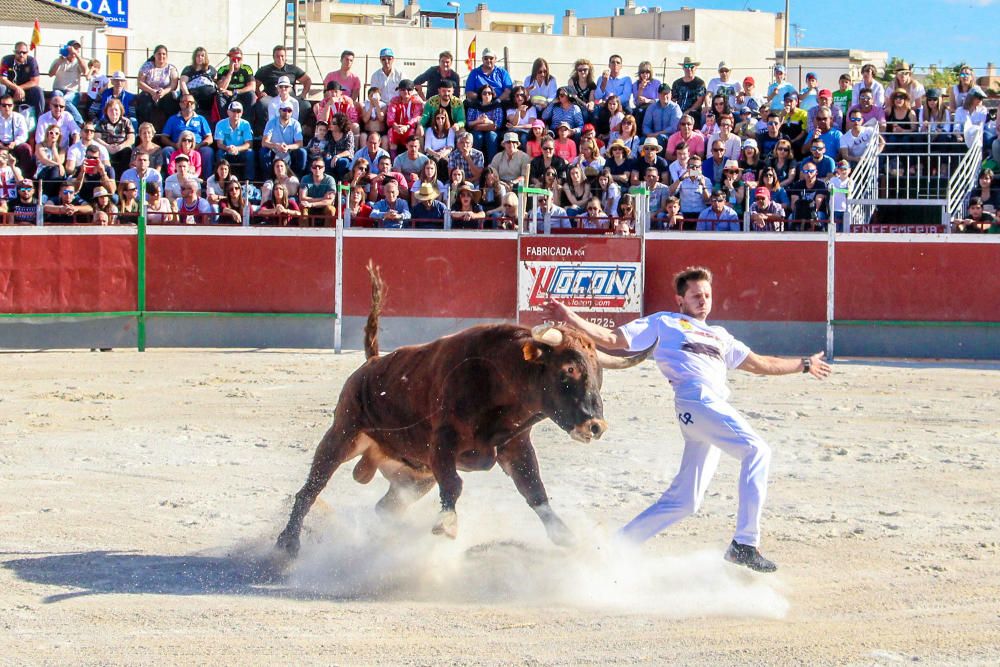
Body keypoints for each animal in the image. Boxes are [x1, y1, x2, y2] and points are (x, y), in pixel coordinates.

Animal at [276, 262, 656, 560]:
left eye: (599, 374)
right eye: (569, 370)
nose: (596, 426)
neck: (501, 381)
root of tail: (371, 363)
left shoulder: (515, 446)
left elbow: (534, 490)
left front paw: (566, 535)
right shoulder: (442, 442)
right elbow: (455, 484)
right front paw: (446, 525)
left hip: (415, 476)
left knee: (385, 507)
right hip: (343, 434)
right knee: (311, 488)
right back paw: (287, 544)